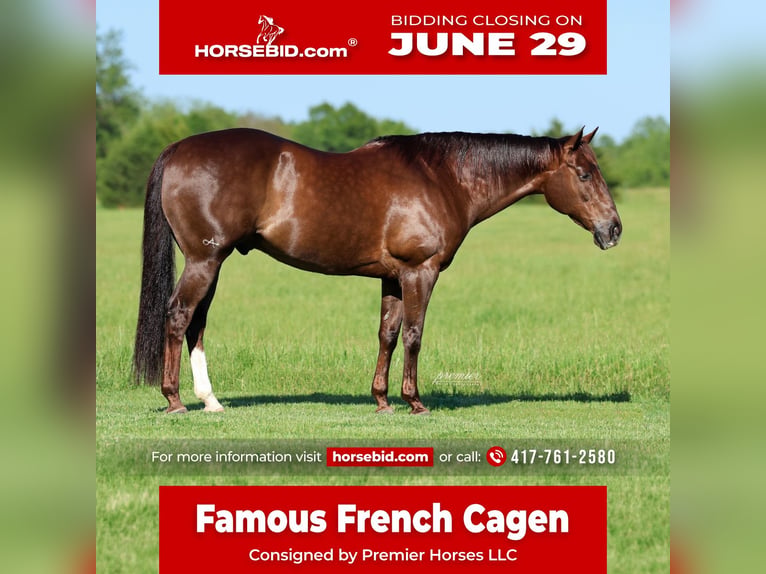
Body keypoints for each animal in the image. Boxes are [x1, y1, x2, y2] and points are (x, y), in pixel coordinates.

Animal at [133, 127, 621, 415]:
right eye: (584, 174)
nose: (613, 229)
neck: (442, 178)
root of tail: (177, 149)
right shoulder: (420, 272)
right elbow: (414, 335)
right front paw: (415, 401)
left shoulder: (392, 277)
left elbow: (387, 334)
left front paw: (382, 400)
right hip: (205, 261)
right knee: (178, 317)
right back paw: (175, 399)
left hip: (213, 263)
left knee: (196, 324)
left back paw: (210, 401)